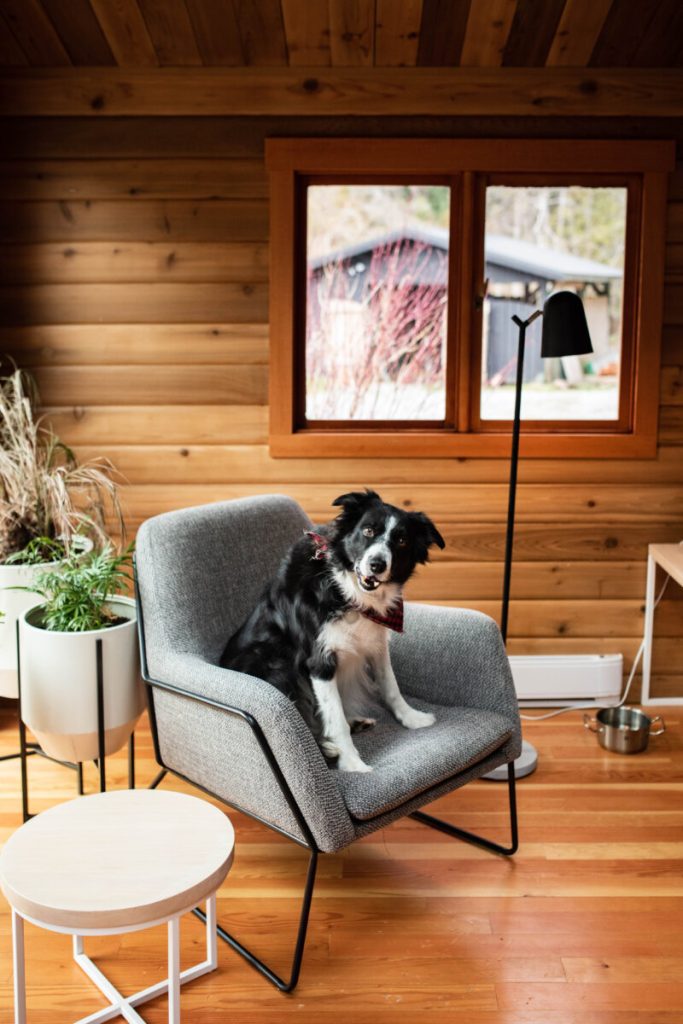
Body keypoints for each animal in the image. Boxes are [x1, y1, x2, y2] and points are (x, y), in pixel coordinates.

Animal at [222, 491, 446, 770]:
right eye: (368, 530)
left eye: (402, 541)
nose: (377, 564)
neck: (347, 592)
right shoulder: (319, 662)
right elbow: (335, 718)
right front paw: (351, 763)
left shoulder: (376, 643)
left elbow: (390, 685)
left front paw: (412, 718)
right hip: (275, 666)